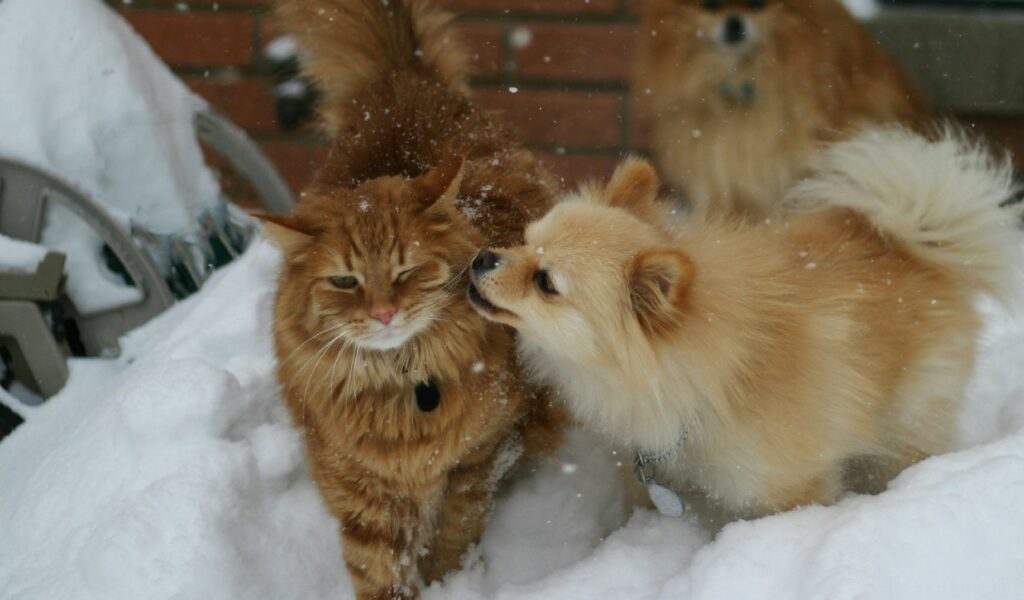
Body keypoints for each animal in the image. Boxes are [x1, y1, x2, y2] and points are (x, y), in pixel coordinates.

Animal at [268, 1, 565, 597]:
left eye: (407, 270)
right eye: (345, 282)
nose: (384, 313)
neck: (404, 384)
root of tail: (403, 77)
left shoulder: (479, 458)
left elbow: (454, 534)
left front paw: (450, 581)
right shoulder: (361, 487)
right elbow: (381, 568)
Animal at [468, 127, 1019, 524]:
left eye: (545, 282)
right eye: (524, 239)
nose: (481, 258)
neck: (701, 379)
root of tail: (912, 243)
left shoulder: (788, 488)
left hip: (908, 422)